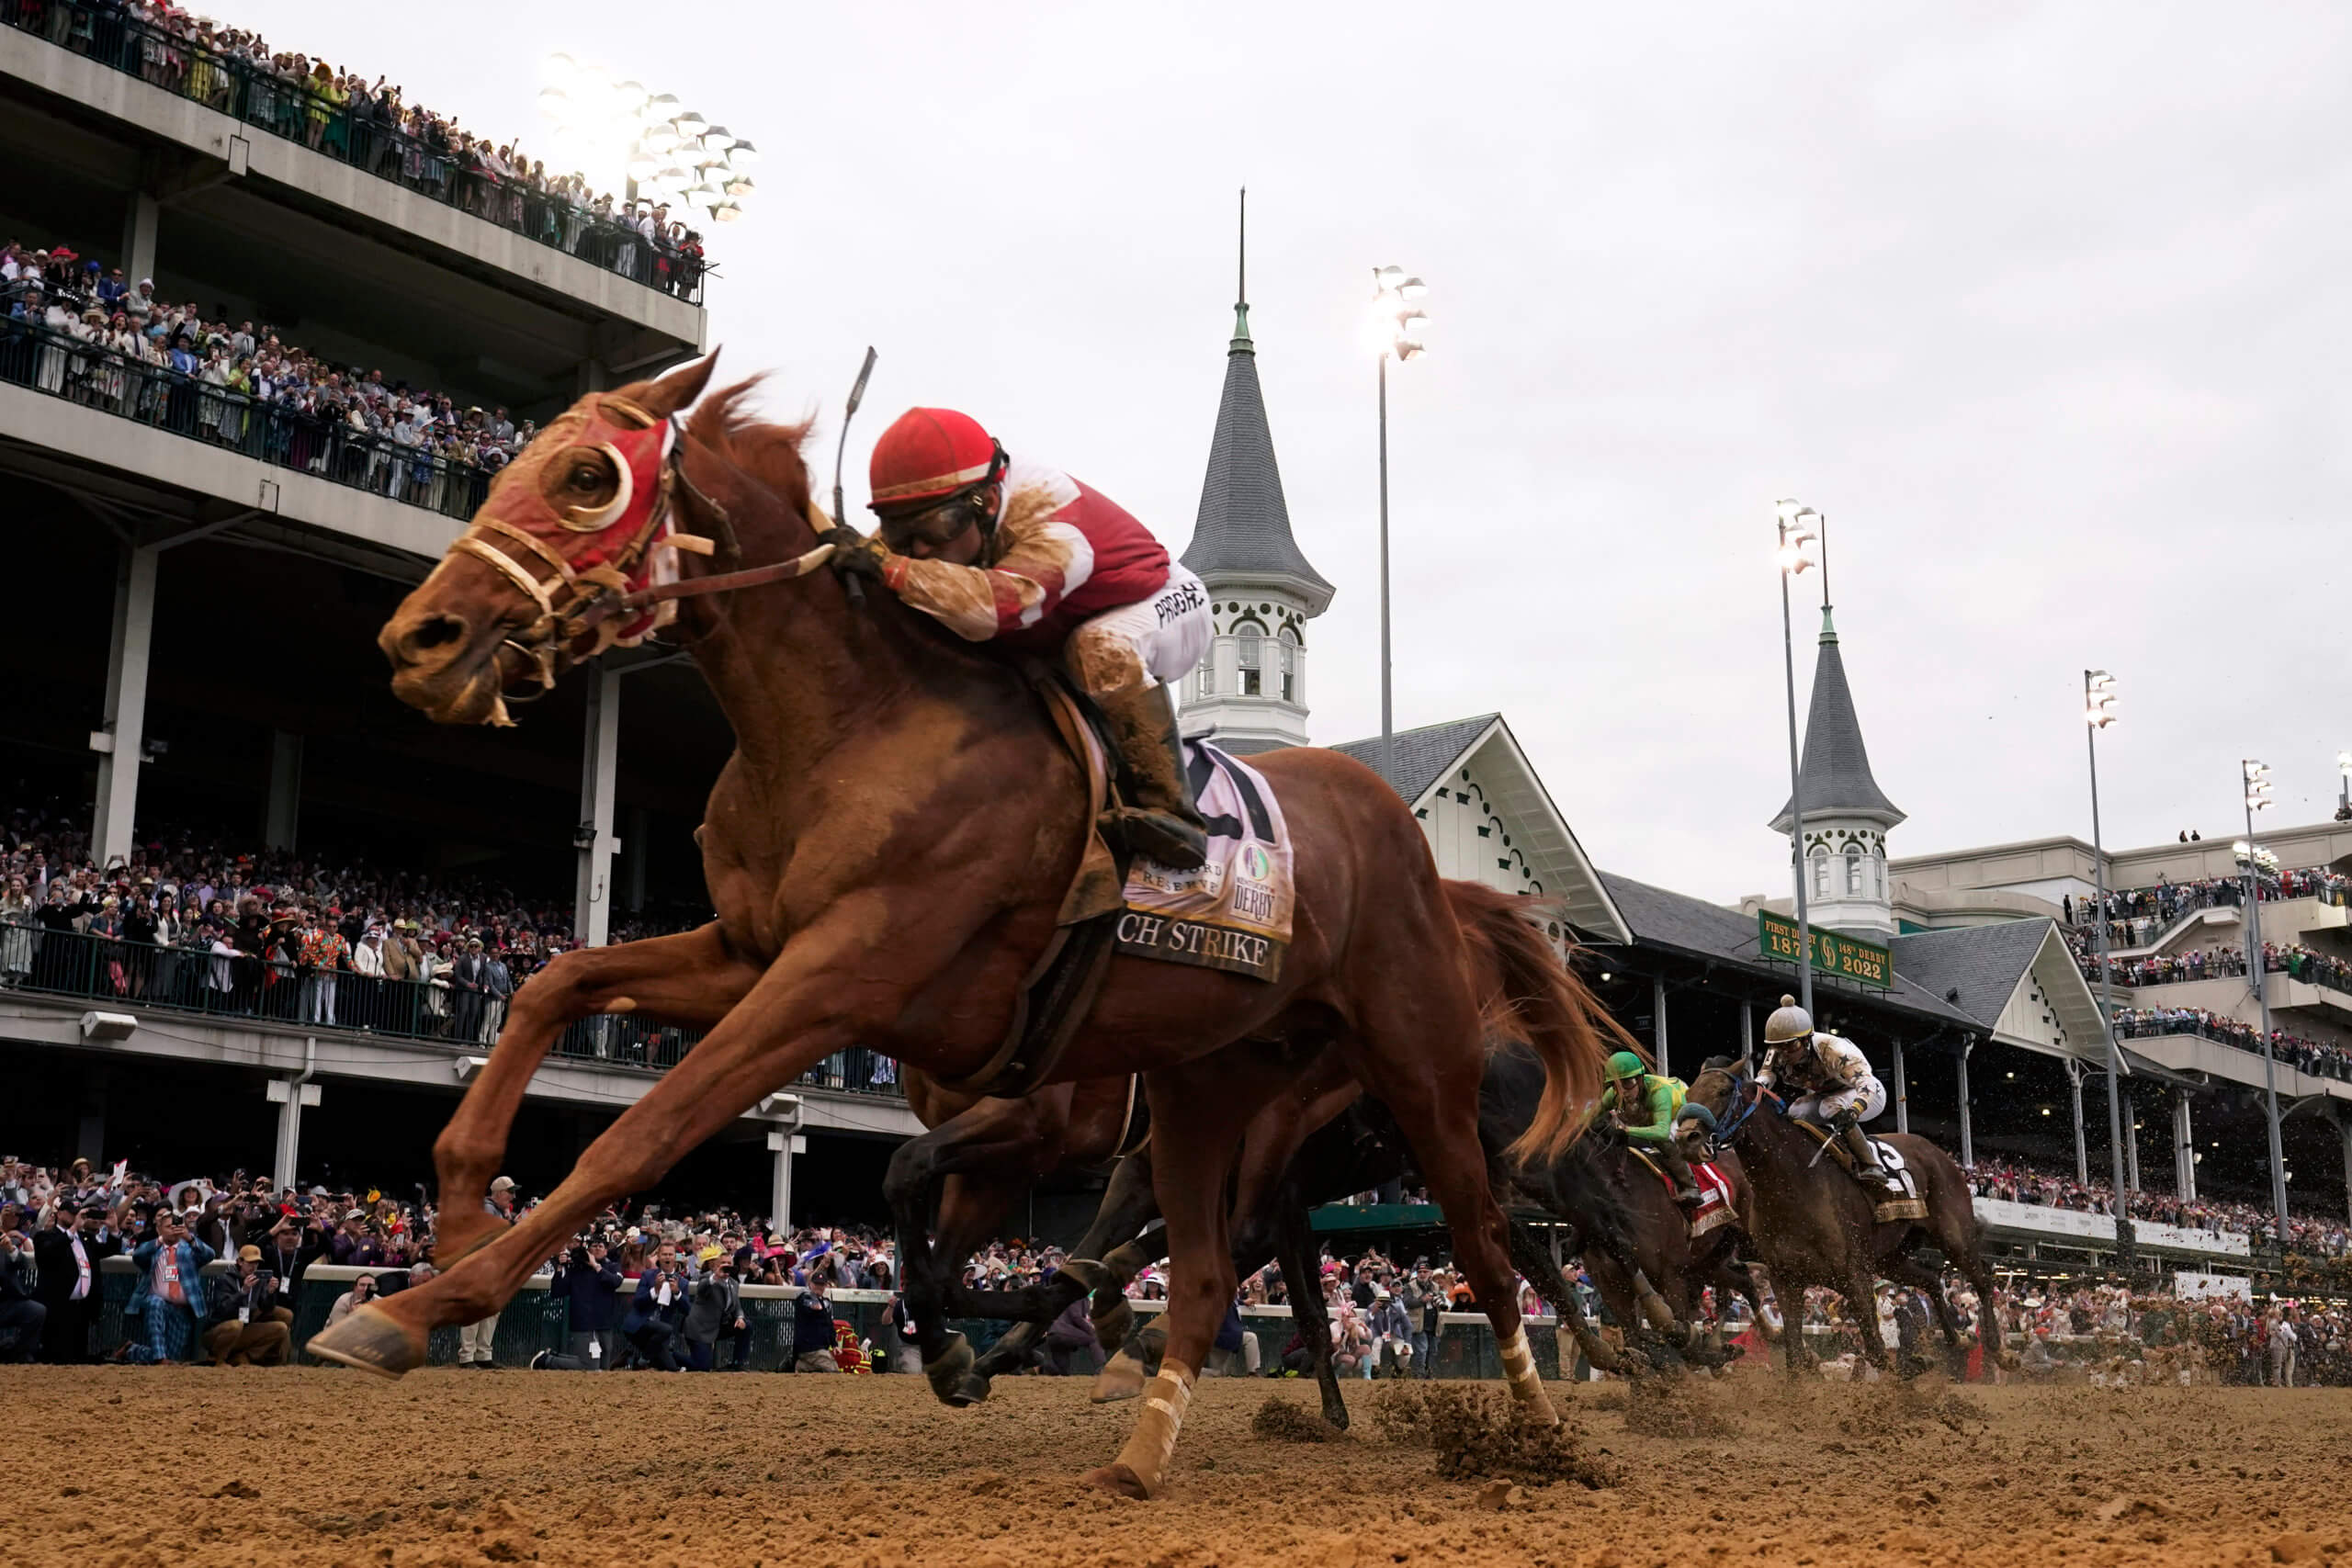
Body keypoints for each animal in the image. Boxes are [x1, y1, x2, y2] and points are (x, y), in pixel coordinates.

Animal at [312, 355, 1609, 1495]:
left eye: (588, 475)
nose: (418, 639)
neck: (856, 725)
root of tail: (1411, 843)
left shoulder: (845, 983)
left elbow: (650, 1134)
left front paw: (417, 1307)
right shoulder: (753, 953)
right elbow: (557, 985)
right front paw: (460, 1209)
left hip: (1419, 1069)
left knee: (1490, 1248)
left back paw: (1547, 1432)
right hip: (1209, 1089)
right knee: (1207, 1271)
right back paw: (1141, 1444)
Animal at [1693, 1053, 2004, 1372]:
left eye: (1722, 1091)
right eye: (1691, 1091)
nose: (1686, 1134)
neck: (1792, 1181)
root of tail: (1938, 1152)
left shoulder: (1854, 1275)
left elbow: (1877, 1351)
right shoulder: (1786, 1278)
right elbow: (1795, 1357)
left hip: (1954, 1236)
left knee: (1982, 1278)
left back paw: (2000, 1351)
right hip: (1889, 1257)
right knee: (1930, 1279)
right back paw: (1958, 1340)